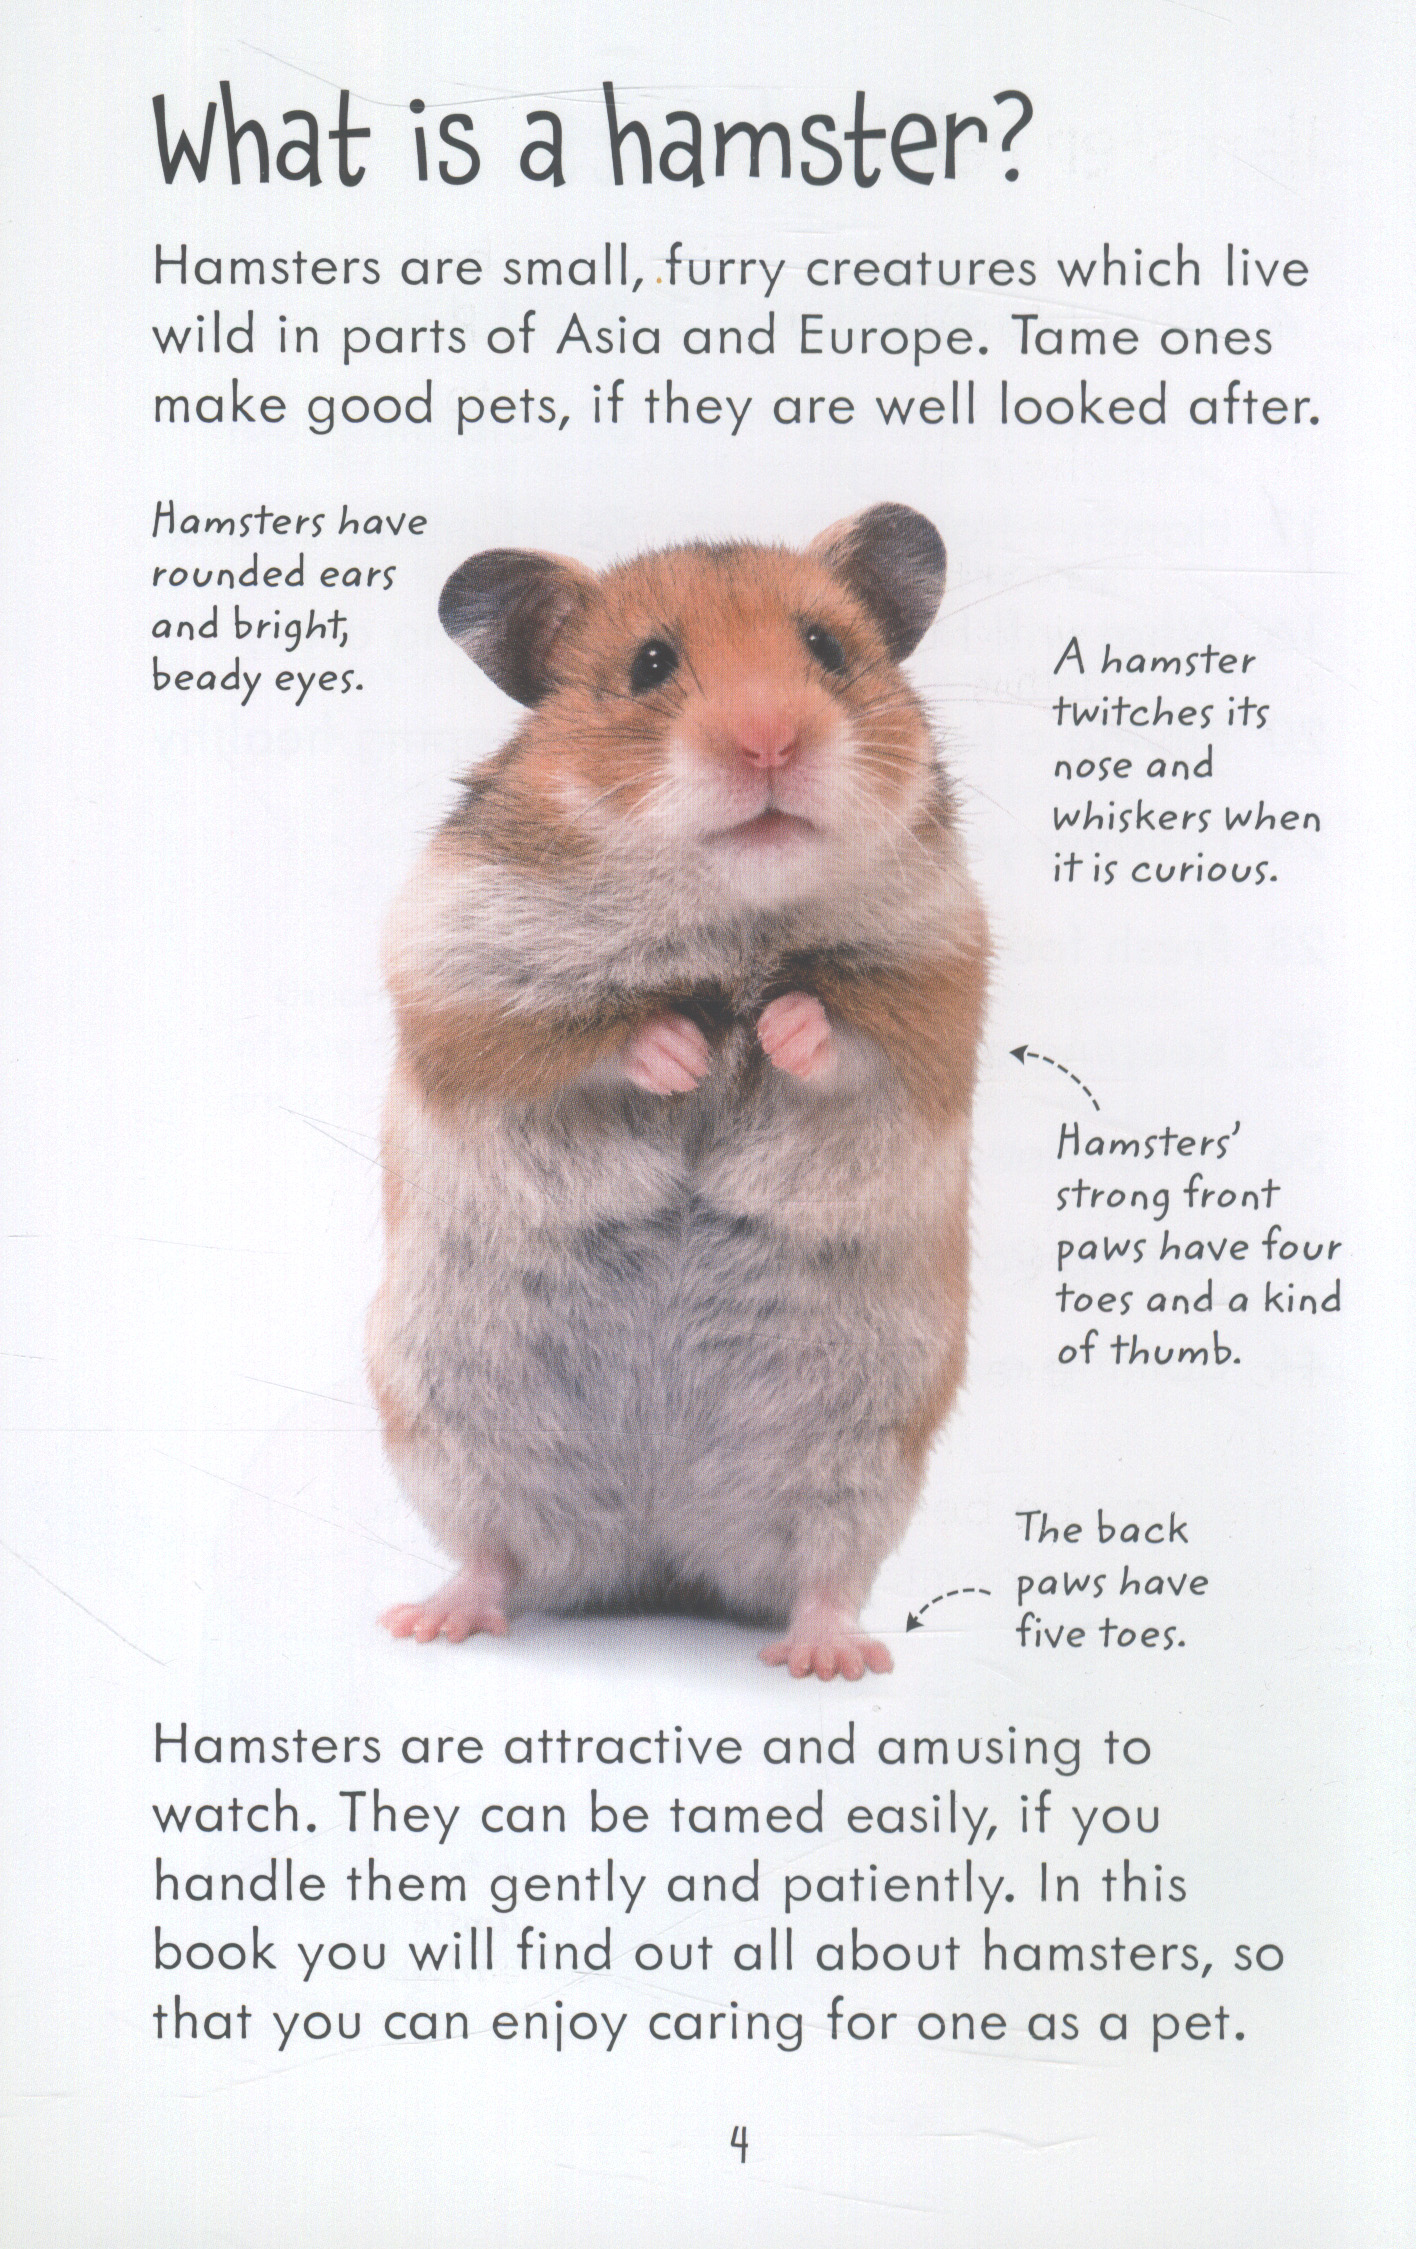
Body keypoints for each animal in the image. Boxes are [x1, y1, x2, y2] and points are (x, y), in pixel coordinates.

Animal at [367, 503, 987, 1681]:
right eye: (650, 665)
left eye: (827, 649)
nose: (770, 742)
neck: (726, 918)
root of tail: (660, 1553)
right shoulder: (462, 982)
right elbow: (583, 1036)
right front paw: (684, 1055)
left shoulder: (939, 983)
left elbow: (842, 1032)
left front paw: (773, 1029)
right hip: (449, 1427)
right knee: (497, 1553)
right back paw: (427, 1619)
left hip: (861, 1454)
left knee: (821, 1571)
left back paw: (830, 1656)